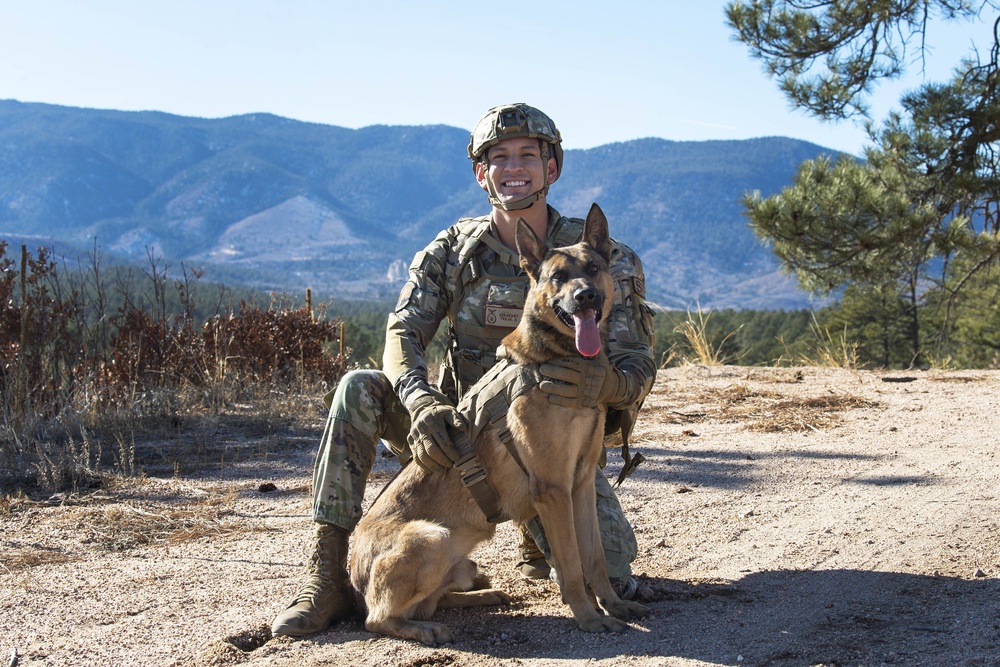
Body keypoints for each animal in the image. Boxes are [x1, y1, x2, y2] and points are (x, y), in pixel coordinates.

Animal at [350, 204, 648, 648]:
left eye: (593, 269)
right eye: (557, 277)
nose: (586, 296)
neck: (558, 358)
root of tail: (354, 573)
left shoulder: (579, 486)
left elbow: (595, 559)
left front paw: (613, 606)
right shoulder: (553, 490)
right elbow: (572, 566)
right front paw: (589, 618)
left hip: (460, 563)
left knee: (433, 601)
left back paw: (486, 596)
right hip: (431, 537)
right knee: (380, 618)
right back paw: (427, 630)